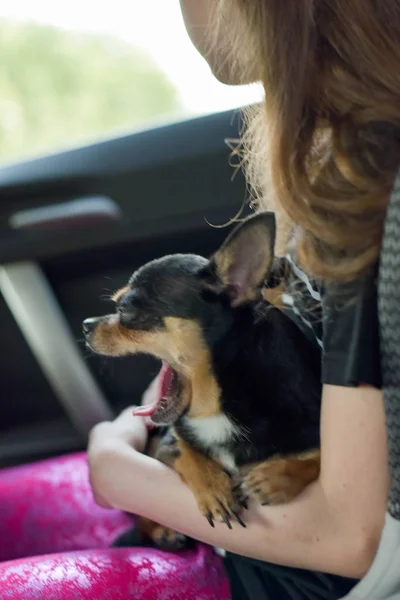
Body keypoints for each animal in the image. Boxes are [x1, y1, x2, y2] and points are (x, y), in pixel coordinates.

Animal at [84, 213, 322, 552]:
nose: (86, 325)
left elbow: (317, 457)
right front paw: (213, 489)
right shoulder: (166, 442)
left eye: (125, 309)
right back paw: (163, 532)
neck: (215, 405)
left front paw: (276, 477)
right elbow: (188, 451)